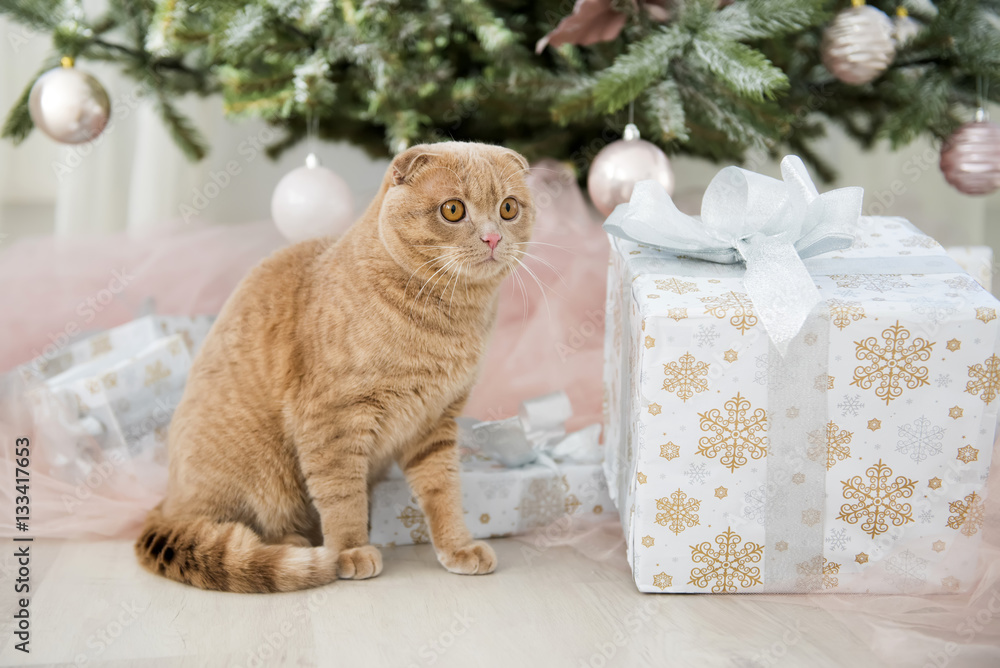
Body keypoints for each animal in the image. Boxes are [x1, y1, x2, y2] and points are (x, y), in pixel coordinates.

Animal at [137, 144, 536, 592]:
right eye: (453, 210)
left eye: (508, 208)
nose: (493, 236)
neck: (447, 321)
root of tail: (167, 504)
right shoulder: (332, 421)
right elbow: (342, 495)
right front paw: (350, 550)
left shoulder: (436, 423)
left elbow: (444, 492)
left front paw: (458, 546)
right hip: (259, 474)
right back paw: (297, 547)